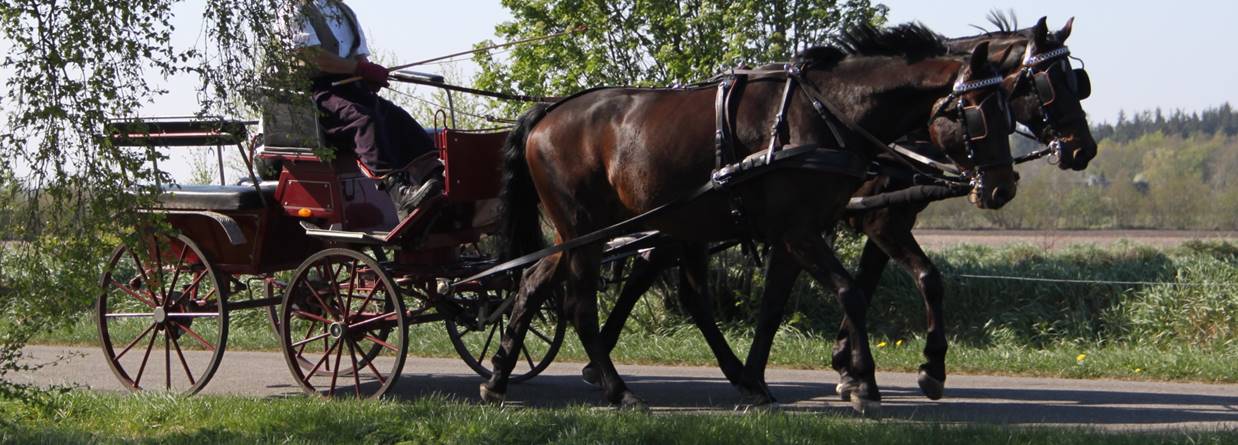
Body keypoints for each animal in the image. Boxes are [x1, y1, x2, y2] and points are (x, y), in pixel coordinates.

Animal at [477, 24, 1010, 414]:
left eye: (1009, 110)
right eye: (978, 115)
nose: (1001, 188)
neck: (825, 113)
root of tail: (547, 112)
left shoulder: (798, 233)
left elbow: (778, 303)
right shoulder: (802, 230)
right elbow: (851, 292)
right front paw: (863, 381)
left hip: (590, 230)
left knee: (534, 283)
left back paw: (500, 377)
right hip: (587, 228)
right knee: (580, 306)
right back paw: (617, 389)